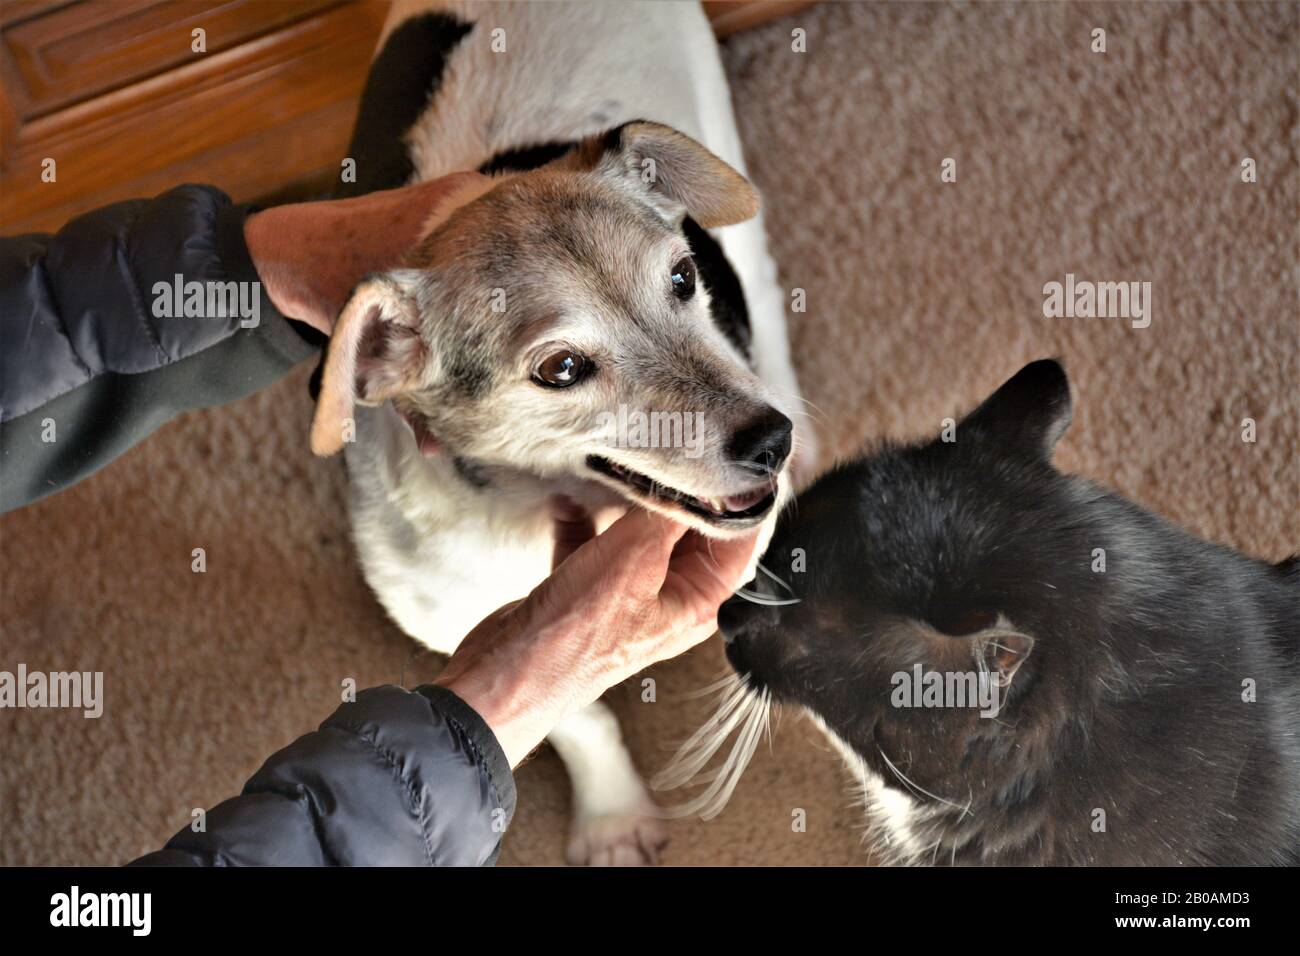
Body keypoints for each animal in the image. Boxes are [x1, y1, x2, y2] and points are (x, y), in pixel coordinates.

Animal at [308, 1, 811, 868]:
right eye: (562, 368)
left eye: (683, 277)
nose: (768, 442)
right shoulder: (481, 633)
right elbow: (577, 717)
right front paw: (612, 814)